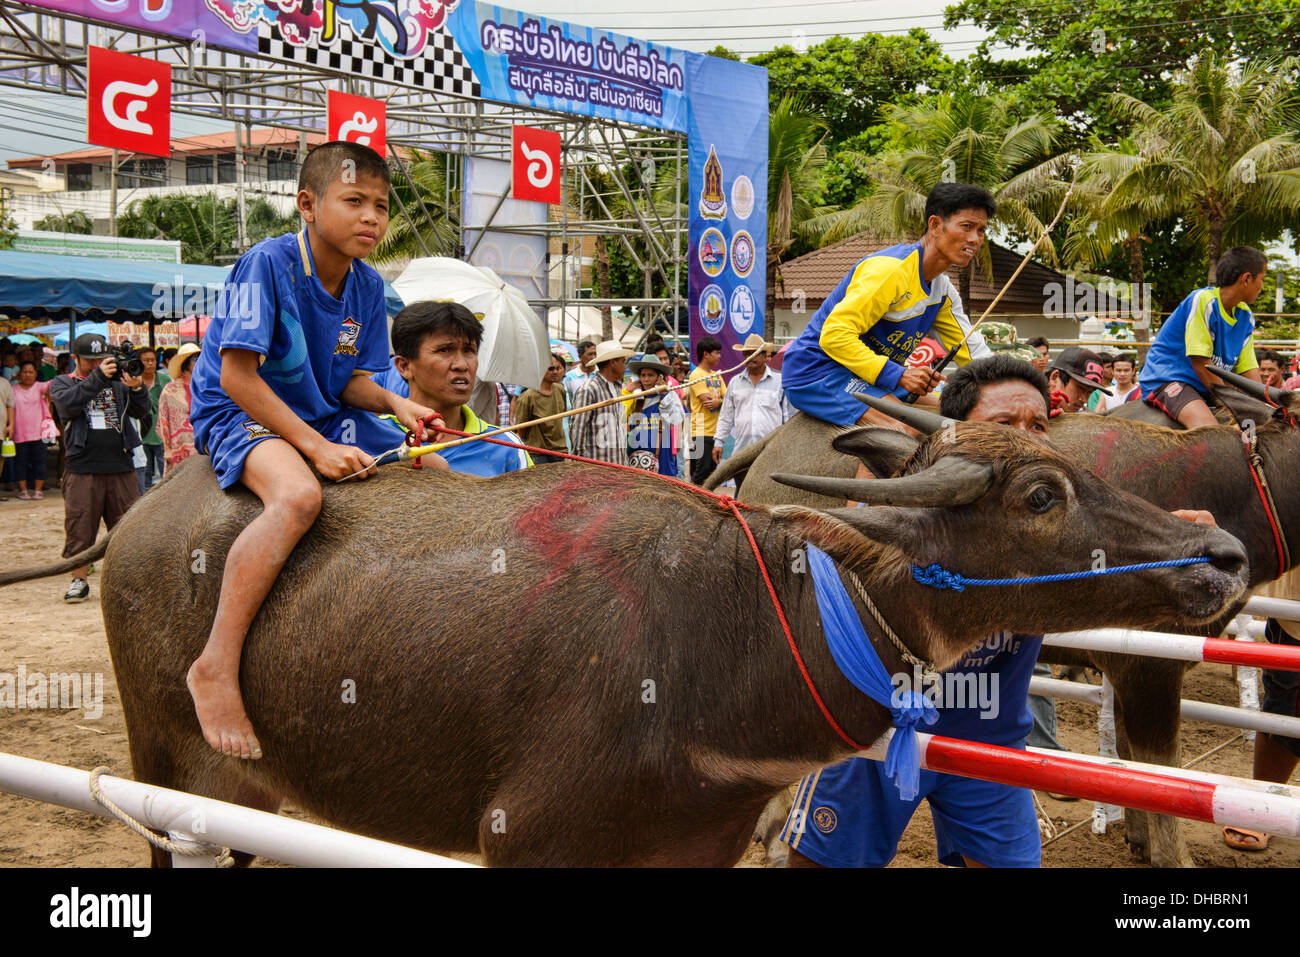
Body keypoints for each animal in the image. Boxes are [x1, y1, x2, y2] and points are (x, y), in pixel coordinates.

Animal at [2, 426, 1248, 868]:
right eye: (1040, 494)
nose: (1224, 553)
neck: (730, 637)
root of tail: (145, 516)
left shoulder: (696, 852)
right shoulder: (527, 845)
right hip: (172, 774)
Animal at [712, 382, 1300, 868]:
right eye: (1041, 495)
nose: (1223, 554)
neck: (1245, 486)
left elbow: (1135, 766)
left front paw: (1136, 836)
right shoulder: (1150, 664)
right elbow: (1163, 773)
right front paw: (1168, 855)